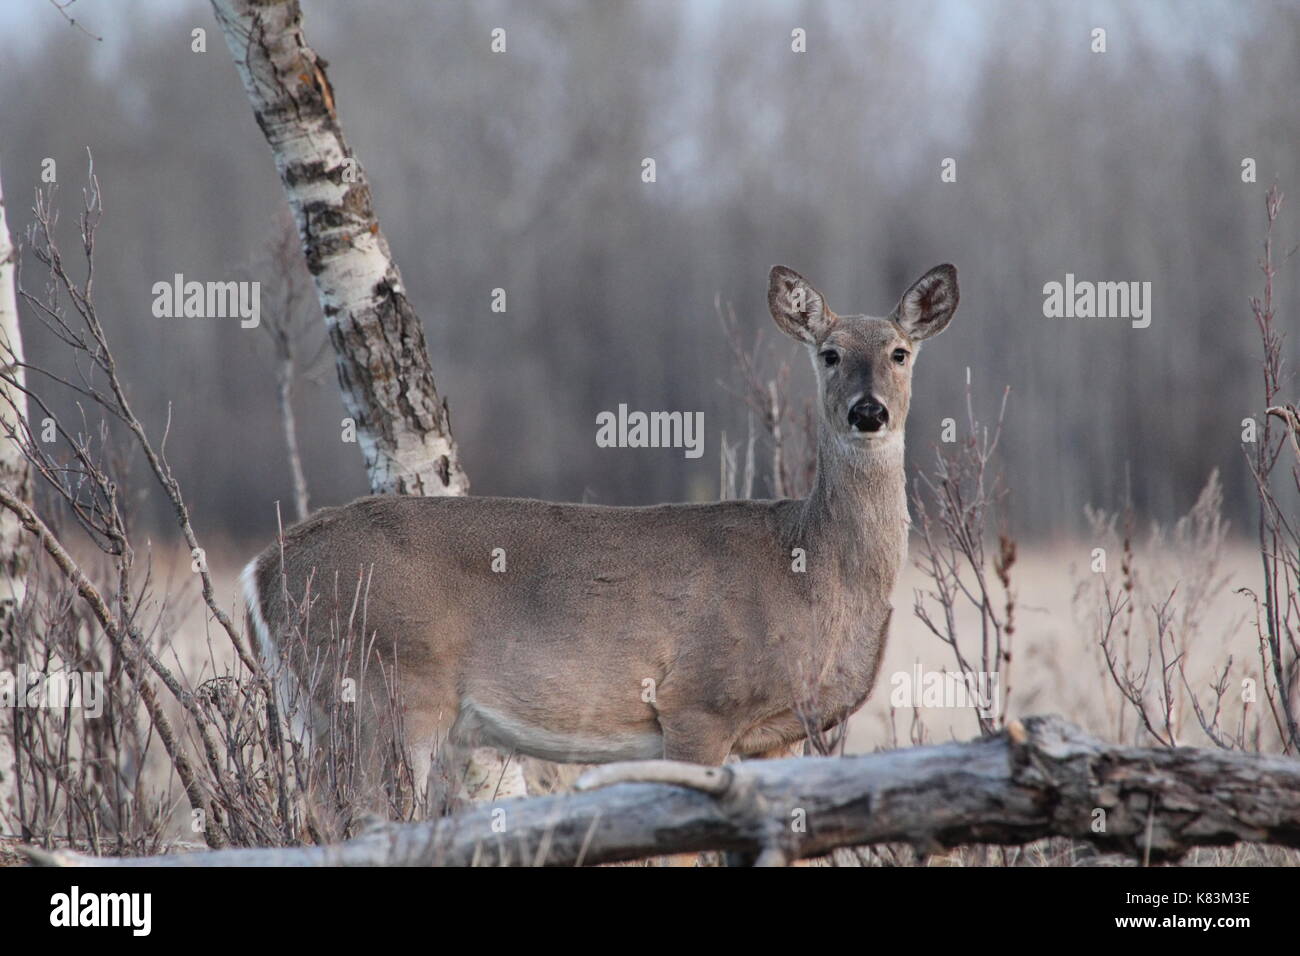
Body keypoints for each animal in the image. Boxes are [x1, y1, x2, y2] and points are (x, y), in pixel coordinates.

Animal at [244, 264, 956, 816]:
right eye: (829, 353)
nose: (869, 411)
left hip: (323, 702)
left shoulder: (779, 733)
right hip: (379, 690)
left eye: (900, 353)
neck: (811, 566)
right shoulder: (697, 703)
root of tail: (264, 568)